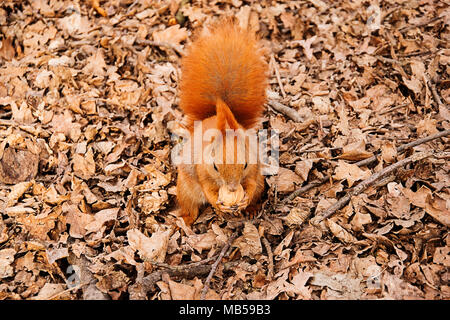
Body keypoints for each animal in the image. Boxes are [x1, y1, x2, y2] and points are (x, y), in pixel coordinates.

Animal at [175, 20, 268, 225]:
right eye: (215, 166)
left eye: (245, 164)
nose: (232, 189)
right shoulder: (202, 170)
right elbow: (208, 189)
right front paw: (218, 204)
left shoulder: (254, 168)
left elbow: (250, 183)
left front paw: (245, 200)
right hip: (184, 188)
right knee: (190, 206)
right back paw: (185, 220)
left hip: (261, 184)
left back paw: (252, 209)